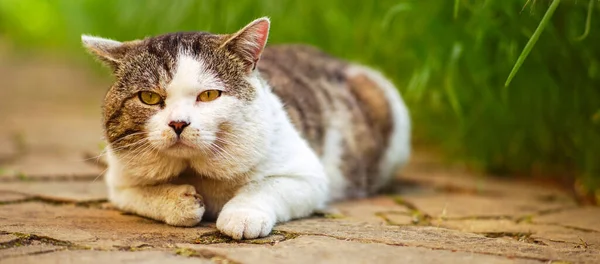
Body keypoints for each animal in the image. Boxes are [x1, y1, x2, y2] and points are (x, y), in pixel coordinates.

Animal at [82, 16, 410, 239]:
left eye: (209, 95)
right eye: (149, 97)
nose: (178, 123)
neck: (196, 170)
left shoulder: (308, 176)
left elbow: (265, 186)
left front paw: (241, 215)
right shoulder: (118, 183)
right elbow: (141, 196)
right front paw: (180, 202)